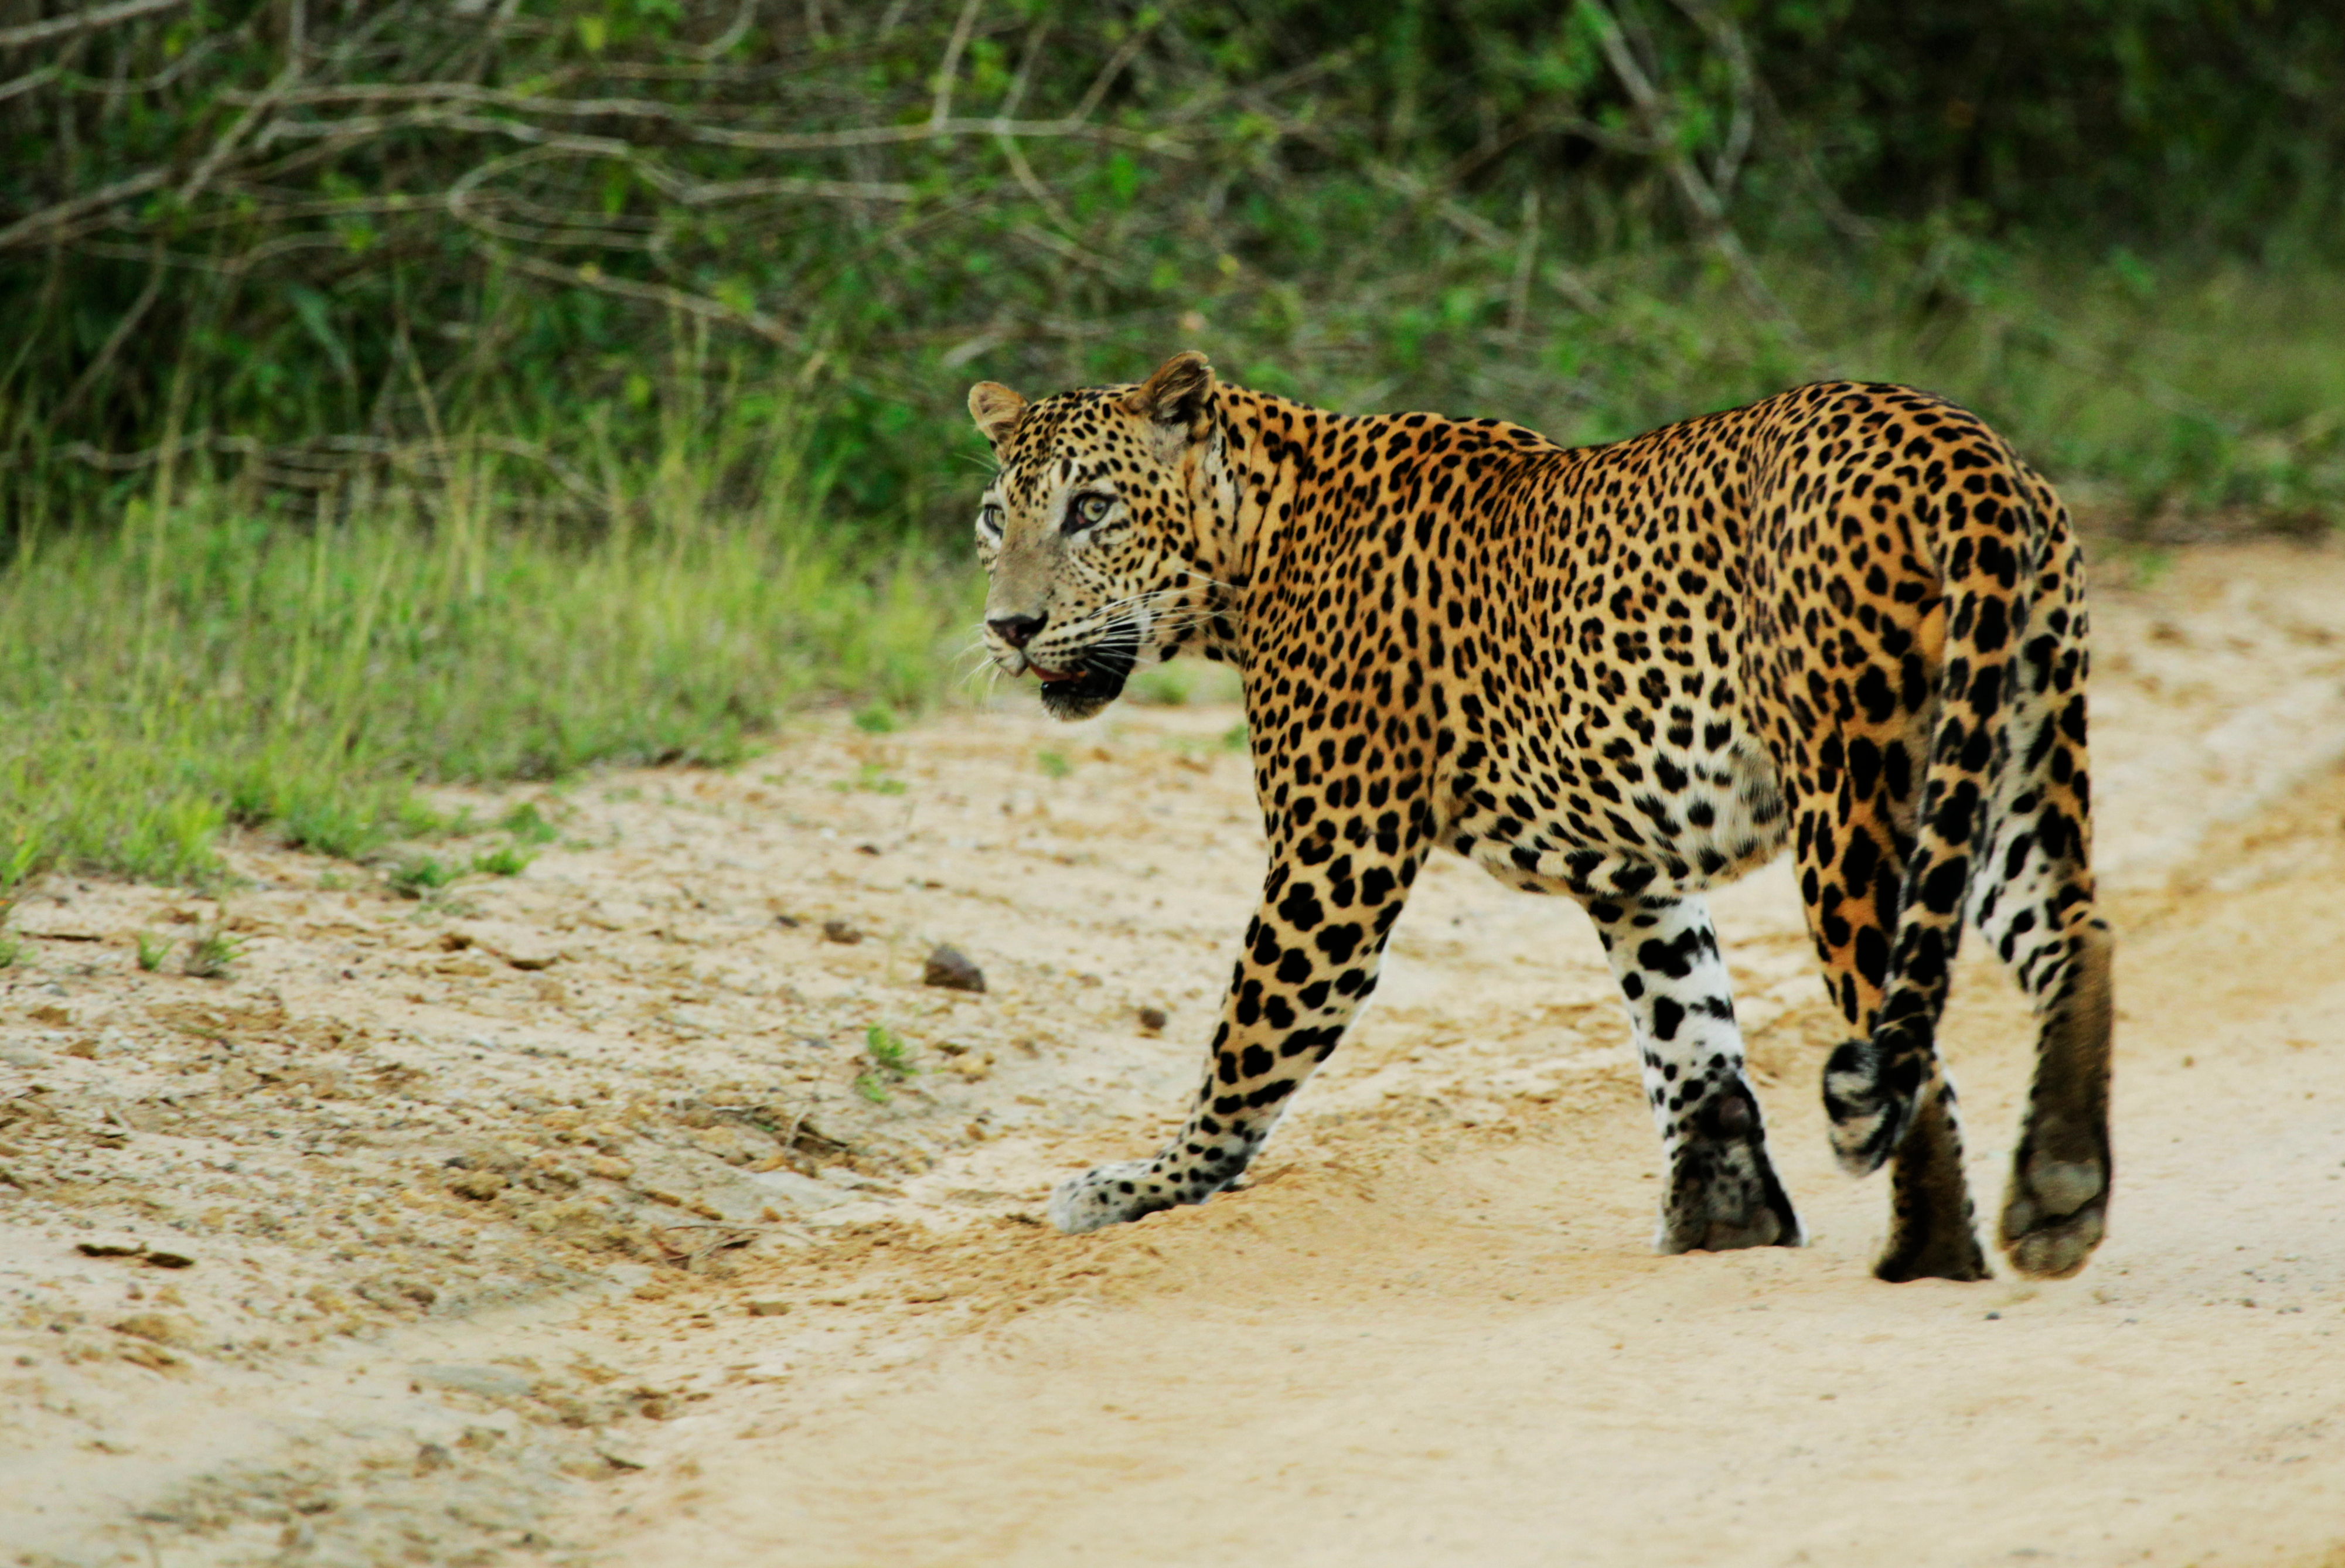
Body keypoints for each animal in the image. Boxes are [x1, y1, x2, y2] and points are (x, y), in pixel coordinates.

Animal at [965, 351, 2112, 1282]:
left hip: (1857, 790)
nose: (1008, 627)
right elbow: (1687, 1027)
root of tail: (1959, 446)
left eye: (1090, 508)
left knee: (1901, 1023)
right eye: (993, 517)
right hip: (2009, 750)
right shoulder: (1631, 864)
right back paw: (2058, 1194)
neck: (1254, 545)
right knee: (2074, 933)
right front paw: (1725, 1218)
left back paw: (1931, 1254)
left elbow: (1247, 1045)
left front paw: (1144, 1187)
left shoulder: (1335, 853)